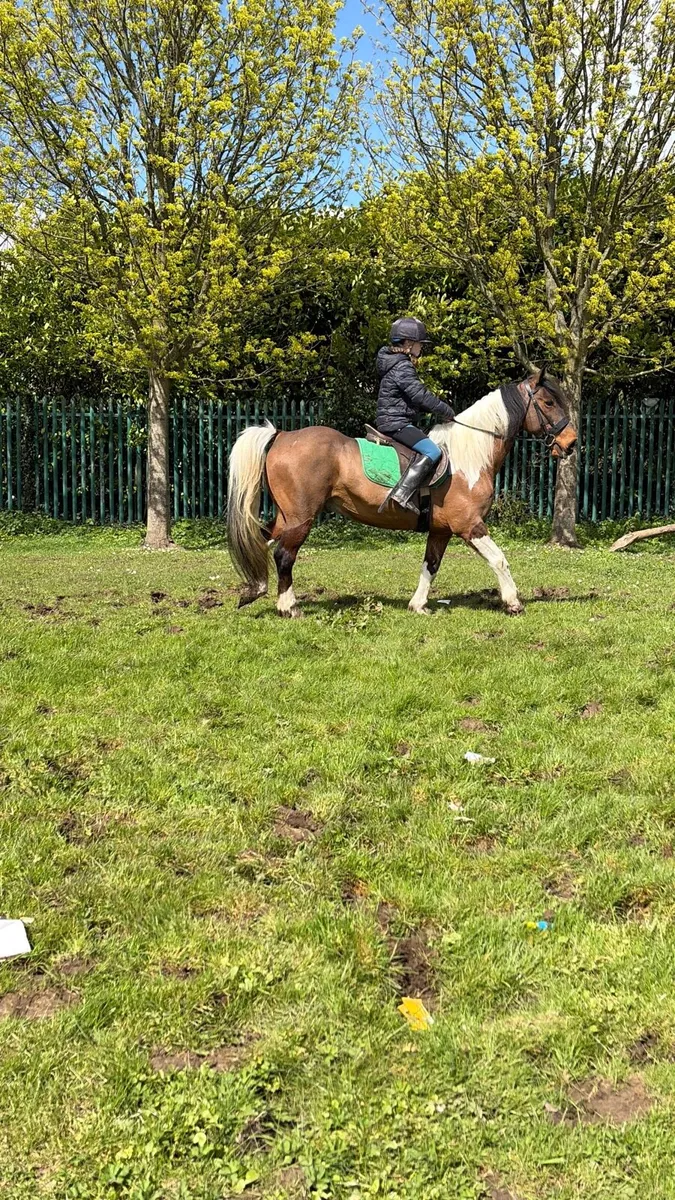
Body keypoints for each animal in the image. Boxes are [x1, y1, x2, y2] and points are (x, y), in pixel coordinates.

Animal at [226, 368, 577, 617]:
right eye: (548, 402)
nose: (571, 443)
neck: (470, 456)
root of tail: (282, 435)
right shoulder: (470, 526)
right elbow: (499, 559)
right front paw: (513, 602)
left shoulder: (441, 531)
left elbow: (430, 566)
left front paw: (418, 605)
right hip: (301, 517)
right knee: (284, 555)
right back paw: (288, 607)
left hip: (286, 517)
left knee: (261, 541)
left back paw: (254, 590)